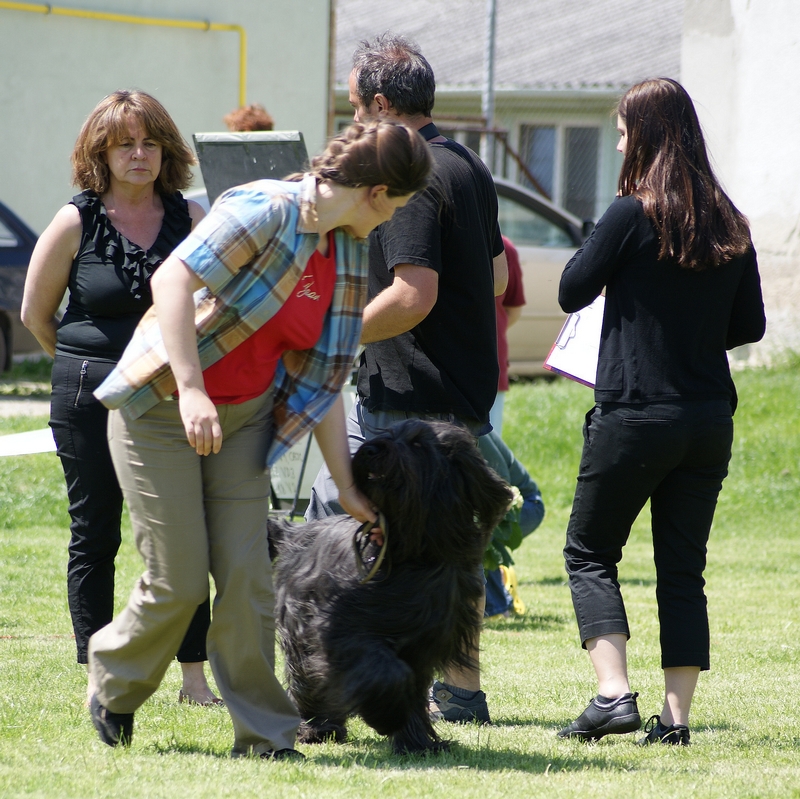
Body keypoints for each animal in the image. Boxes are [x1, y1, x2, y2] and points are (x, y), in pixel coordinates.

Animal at [268, 418, 506, 756]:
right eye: (389, 431)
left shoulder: (423, 645)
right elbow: (387, 672)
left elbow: (412, 688)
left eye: (418, 444)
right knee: (306, 677)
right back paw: (316, 726)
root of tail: (294, 534)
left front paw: (417, 742)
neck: (414, 552)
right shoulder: (342, 629)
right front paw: (388, 716)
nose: (369, 450)